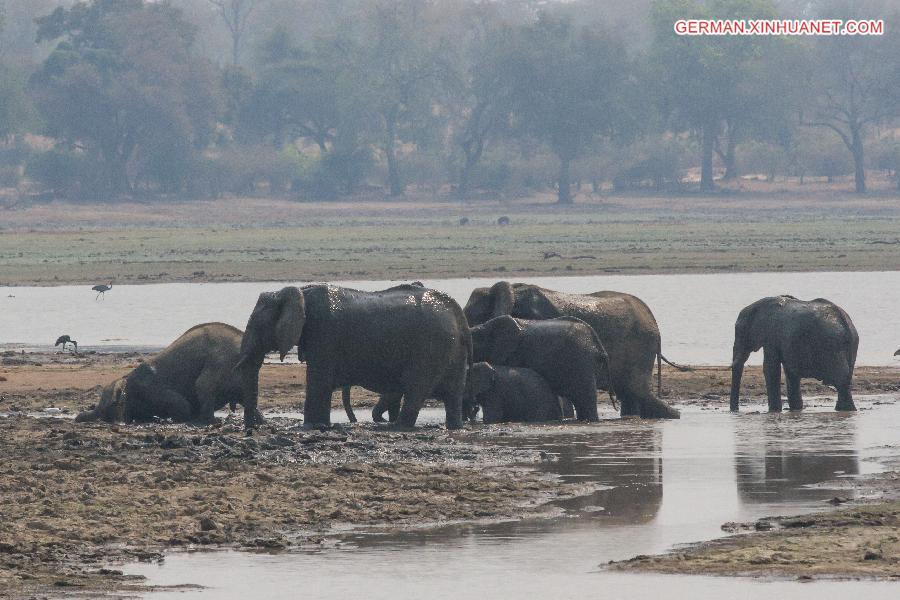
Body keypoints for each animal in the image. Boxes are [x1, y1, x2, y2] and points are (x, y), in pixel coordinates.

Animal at [236, 286, 472, 432]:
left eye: (257, 325)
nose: (252, 429)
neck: (301, 293)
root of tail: (457, 313)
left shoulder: (323, 334)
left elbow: (319, 383)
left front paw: (313, 426)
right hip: (450, 350)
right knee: (453, 395)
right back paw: (454, 427)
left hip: (430, 349)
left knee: (416, 390)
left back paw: (397, 427)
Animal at [728, 296, 860, 412]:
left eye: (739, 331)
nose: (735, 411)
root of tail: (846, 323)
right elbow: (790, 372)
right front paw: (796, 409)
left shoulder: (771, 336)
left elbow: (770, 369)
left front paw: (774, 411)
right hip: (850, 347)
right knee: (845, 379)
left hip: (832, 346)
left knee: (841, 381)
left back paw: (847, 410)